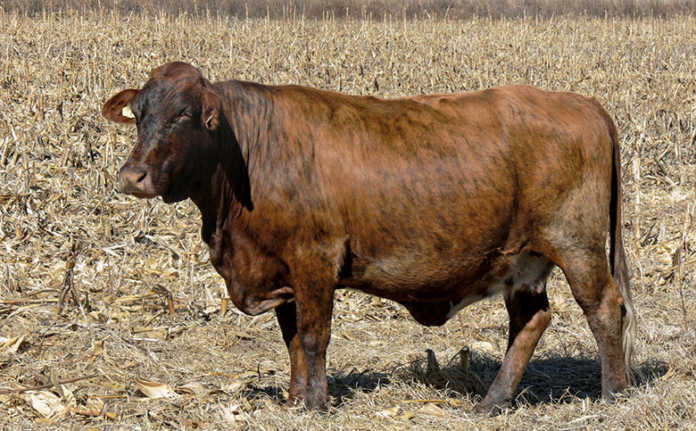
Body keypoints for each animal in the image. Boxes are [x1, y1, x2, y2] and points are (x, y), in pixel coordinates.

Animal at [102, 61, 635, 413]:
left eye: (184, 115)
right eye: (140, 114)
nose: (132, 177)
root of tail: (582, 102)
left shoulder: (314, 260)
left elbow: (314, 336)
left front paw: (317, 403)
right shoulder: (281, 272)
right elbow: (292, 340)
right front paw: (295, 400)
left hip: (577, 245)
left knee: (605, 308)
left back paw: (614, 393)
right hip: (521, 261)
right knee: (530, 320)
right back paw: (492, 401)